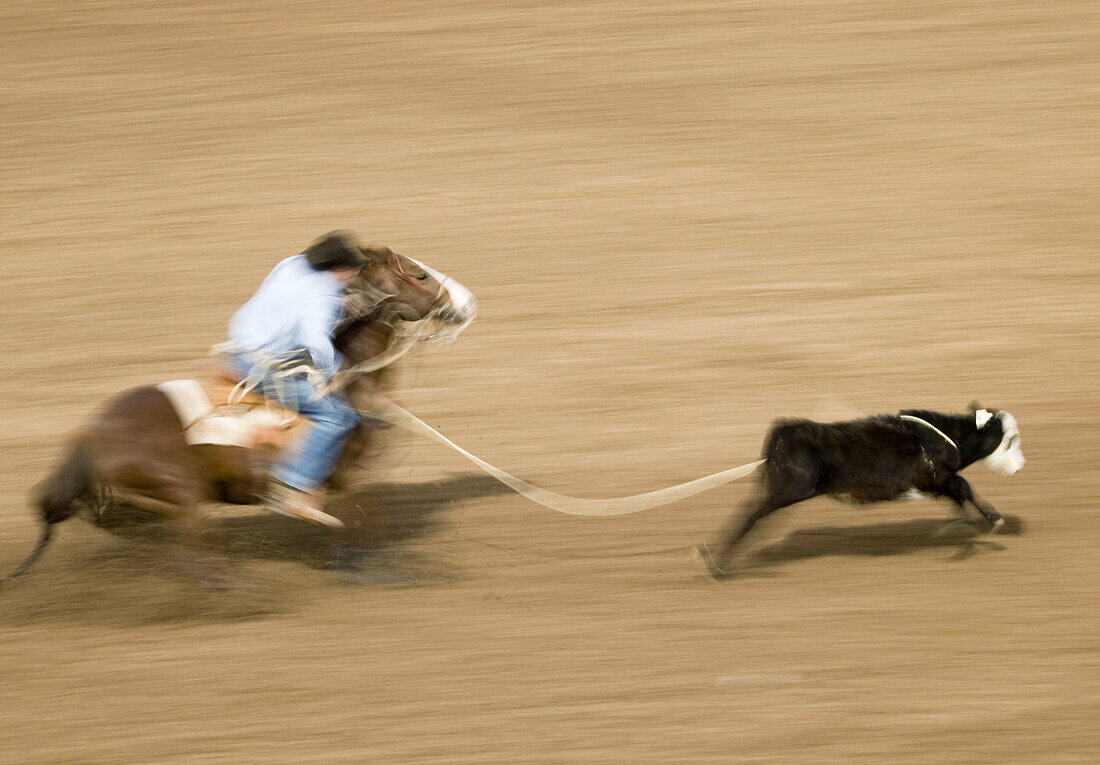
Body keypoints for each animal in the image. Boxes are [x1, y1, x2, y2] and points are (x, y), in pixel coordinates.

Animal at [4, 248, 477, 585]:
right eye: (418, 274)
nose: (467, 304)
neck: (349, 379)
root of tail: (90, 433)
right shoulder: (343, 477)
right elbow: (361, 525)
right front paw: (379, 570)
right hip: (182, 491)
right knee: (186, 555)